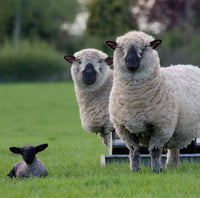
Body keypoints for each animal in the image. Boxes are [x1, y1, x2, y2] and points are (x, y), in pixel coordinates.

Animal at [105, 30, 200, 172]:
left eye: (145, 47)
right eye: (120, 47)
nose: (131, 62)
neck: (134, 99)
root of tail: (192, 66)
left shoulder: (161, 127)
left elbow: (155, 151)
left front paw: (156, 170)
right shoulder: (124, 129)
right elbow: (134, 151)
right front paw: (134, 170)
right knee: (174, 149)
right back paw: (171, 166)